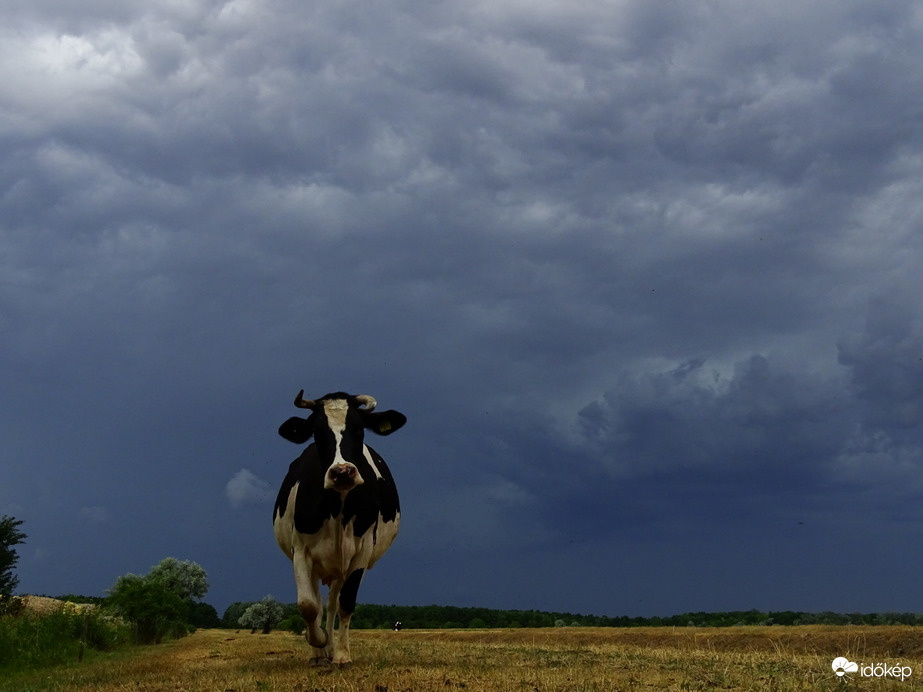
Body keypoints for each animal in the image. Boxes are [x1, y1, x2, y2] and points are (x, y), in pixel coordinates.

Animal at [272, 390, 406, 664]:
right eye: (317, 431)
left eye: (359, 428)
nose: (342, 472)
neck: (338, 507)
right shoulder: (300, 551)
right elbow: (308, 605)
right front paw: (318, 641)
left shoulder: (361, 552)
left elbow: (346, 603)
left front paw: (342, 655)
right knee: (319, 600)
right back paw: (320, 652)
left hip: (341, 566)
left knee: (333, 603)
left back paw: (333, 649)